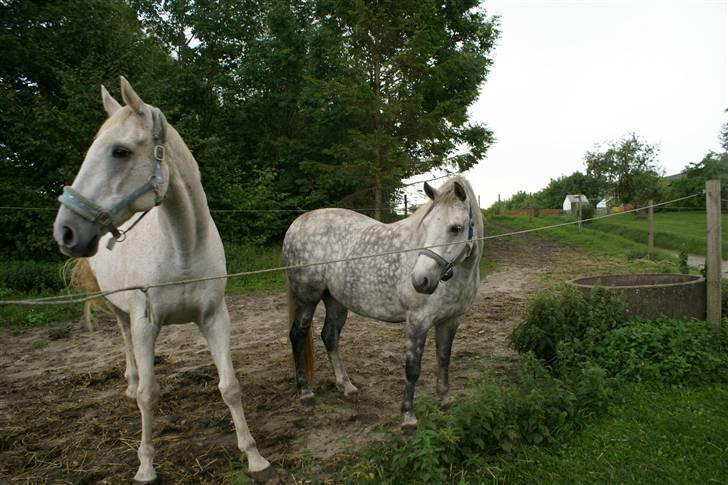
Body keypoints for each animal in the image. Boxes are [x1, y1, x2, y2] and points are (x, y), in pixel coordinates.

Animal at [52, 77, 272, 482]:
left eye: (120, 151)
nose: (66, 231)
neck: (182, 247)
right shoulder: (145, 323)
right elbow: (148, 396)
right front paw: (145, 466)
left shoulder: (214, 317)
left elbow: (230, 387)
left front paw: (255, 457)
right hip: (120, 309)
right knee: (125, 344)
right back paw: (130, 382)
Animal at [282, 176, 484, 430]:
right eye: (426, 226)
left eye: (455, 228)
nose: (420, 280)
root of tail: (296, 223)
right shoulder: (418, 320)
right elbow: (412, 368)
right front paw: (408, 417)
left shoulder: (451, 320)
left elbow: (444, 359)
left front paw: (446, 400)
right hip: (307, 298)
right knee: (297, 336)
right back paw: (306, 392)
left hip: (335, 300)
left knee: (329, 336)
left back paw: (346, 386)